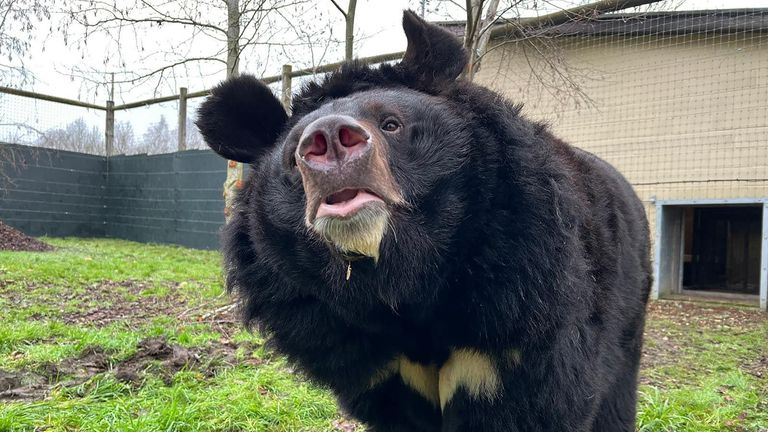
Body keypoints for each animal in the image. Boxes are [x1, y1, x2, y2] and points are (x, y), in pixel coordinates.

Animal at [196, 10, 648, 432]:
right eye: (293, 156)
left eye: (391, 124)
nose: (328, 141)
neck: (406, 284)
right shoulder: (366, 358)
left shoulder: (518, 312)